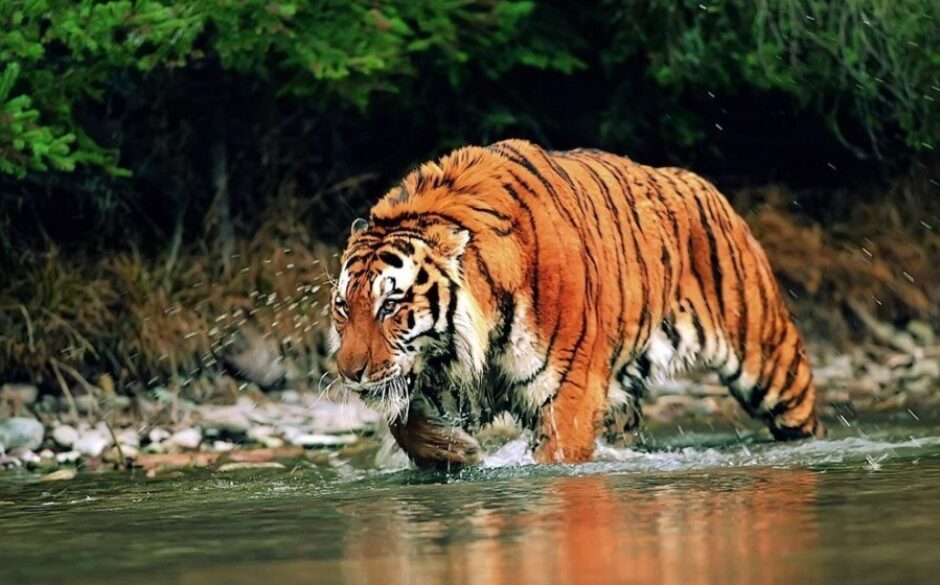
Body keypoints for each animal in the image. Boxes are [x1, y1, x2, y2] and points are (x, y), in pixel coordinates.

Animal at [328, 139, 824, 468]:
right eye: (343, 308)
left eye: (390, 306)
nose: (349, 373)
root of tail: (699, 182)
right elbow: (403, 423)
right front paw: (456, 452)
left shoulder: (568, 394)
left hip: (771, 363)